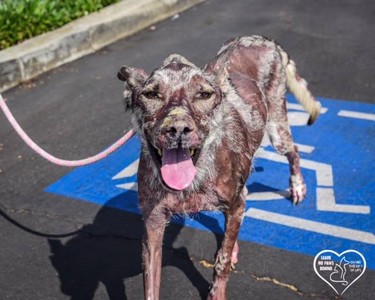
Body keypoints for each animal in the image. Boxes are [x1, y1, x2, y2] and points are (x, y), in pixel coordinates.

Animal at [118, 35, 324, 300]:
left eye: (204, 94)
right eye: (151, 94)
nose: (177, 128)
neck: (193, 181)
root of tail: (263, 39)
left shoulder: (234, 205)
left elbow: (222, 262)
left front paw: (218, 290)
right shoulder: (152, 227)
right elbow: (151, 286)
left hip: (277, 130)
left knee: (294, 152)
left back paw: (297, 186)